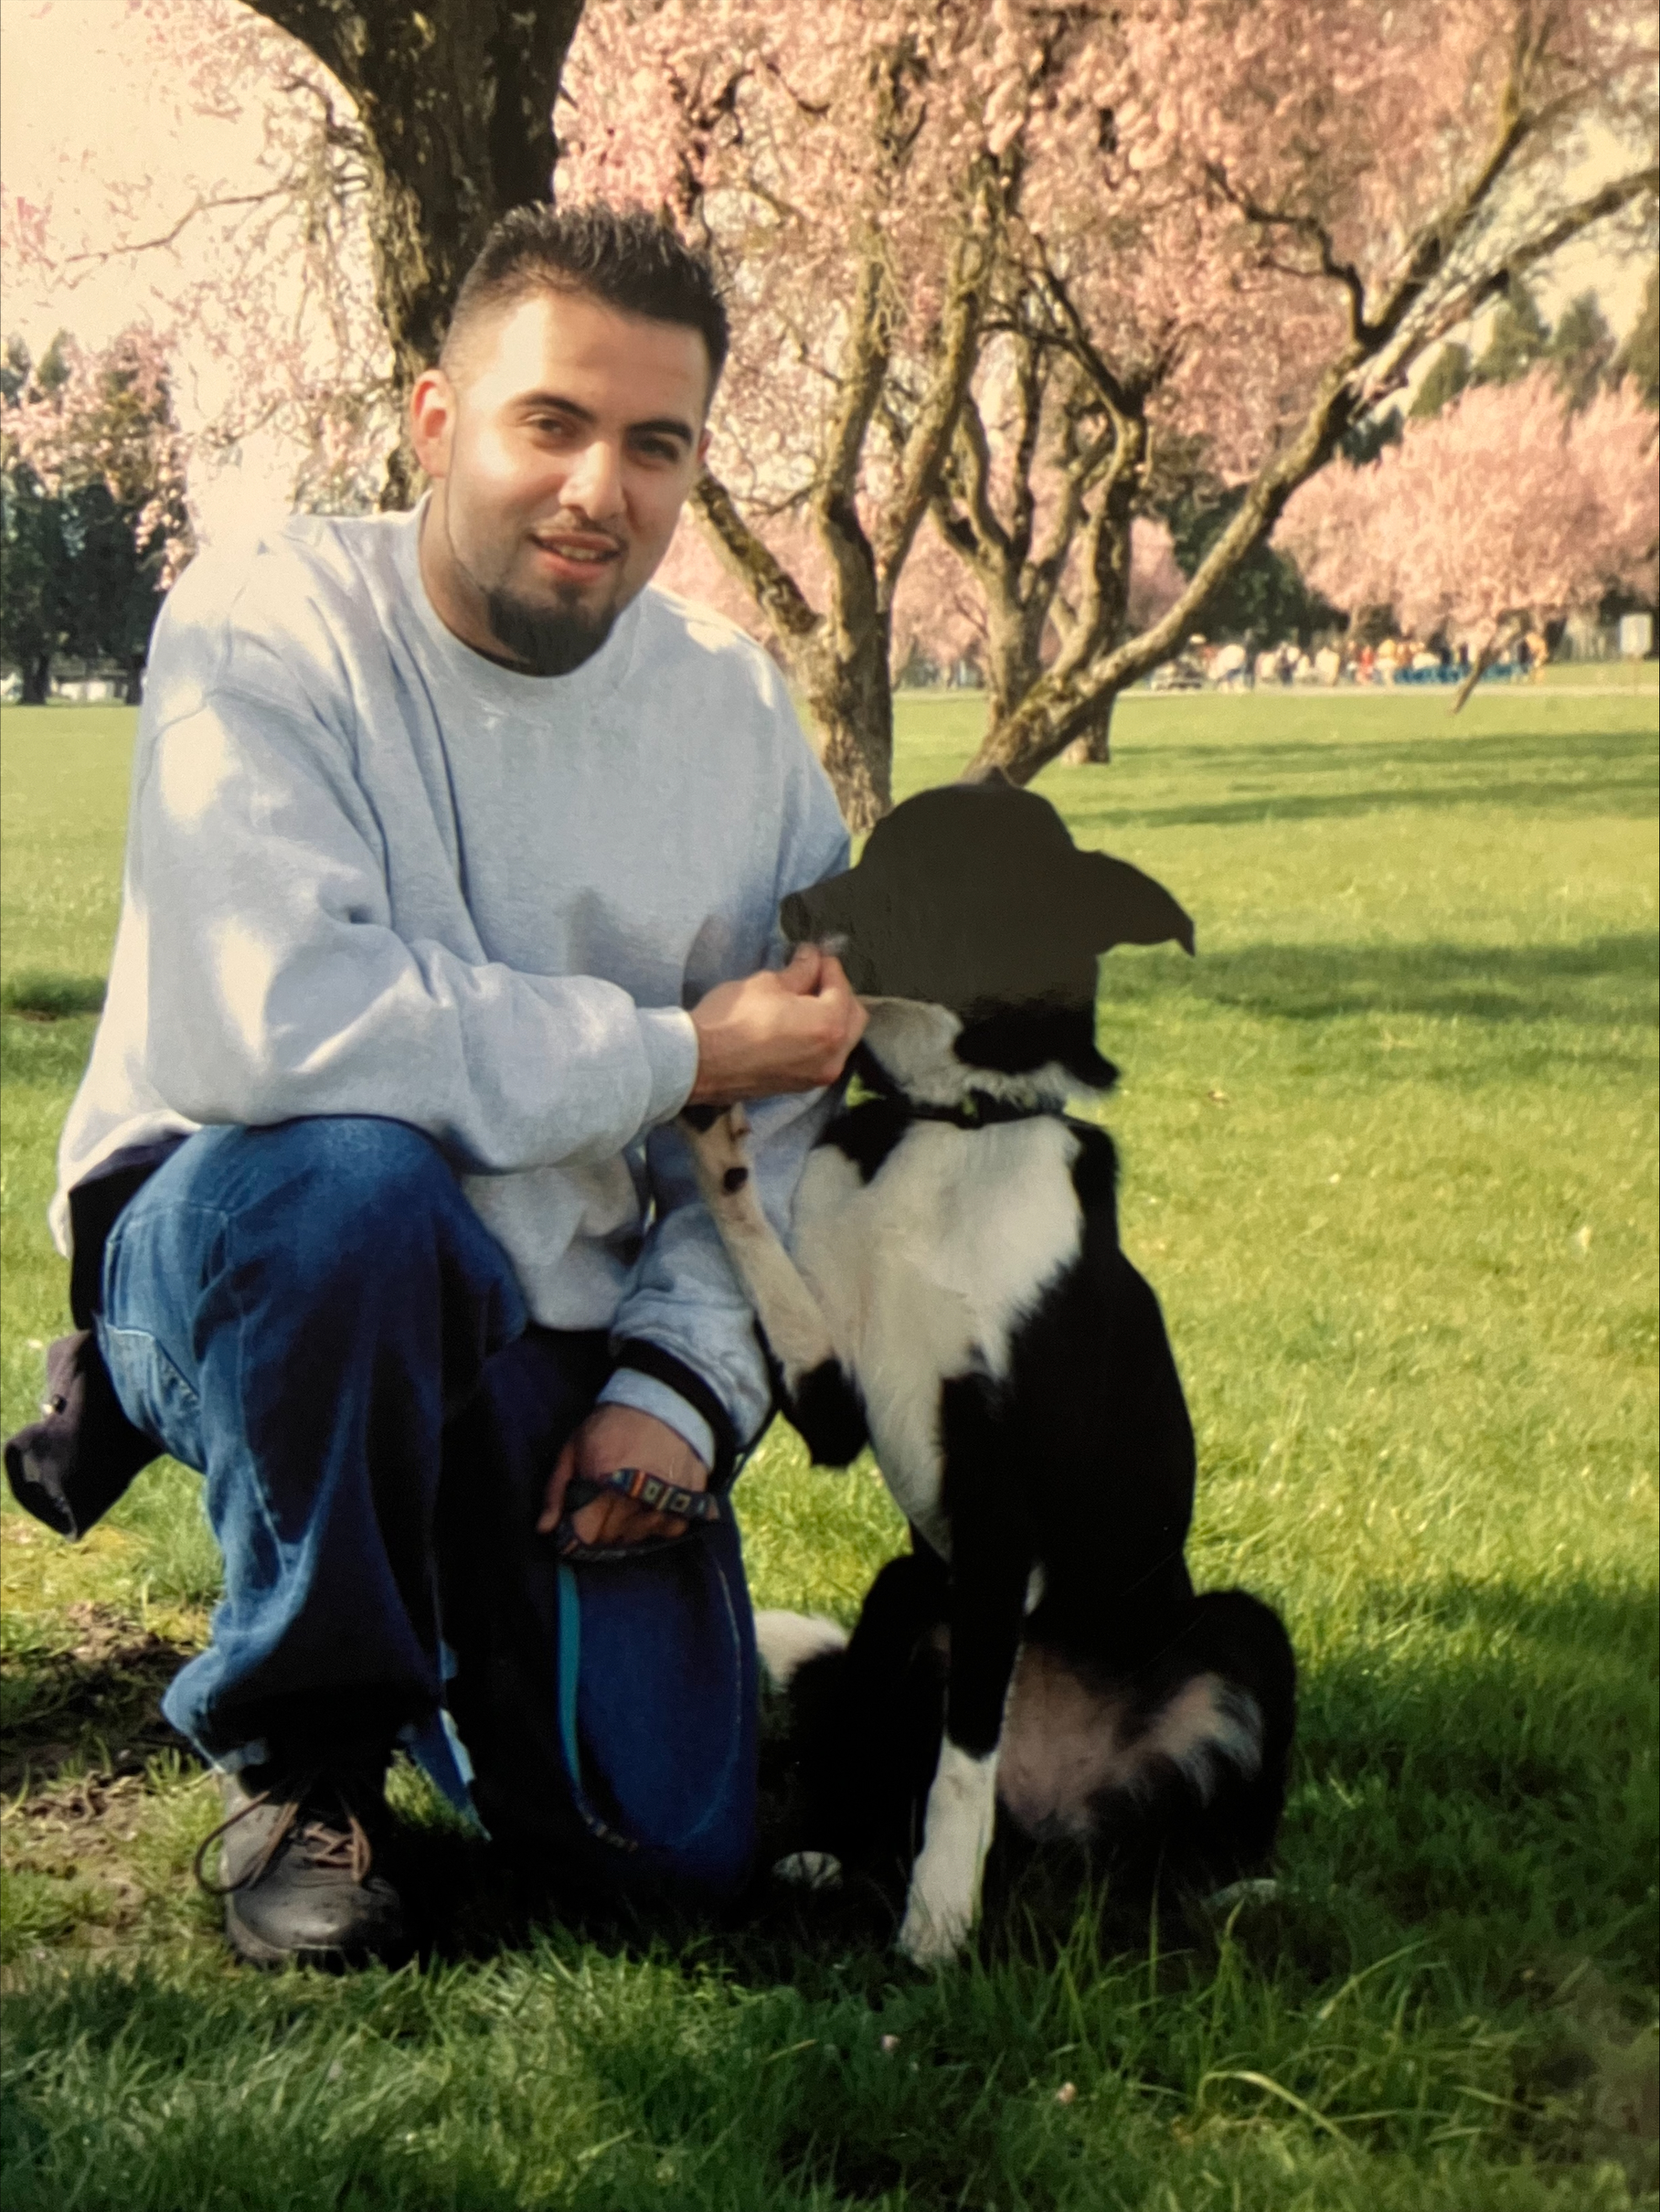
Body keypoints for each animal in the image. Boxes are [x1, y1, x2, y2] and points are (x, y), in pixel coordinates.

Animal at [681, 782, 1293, 1973]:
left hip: (1240, 1631)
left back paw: (1235, 1888)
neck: (948, 1129)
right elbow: (765, 1254)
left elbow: (962, 1765)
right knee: (881, 1758)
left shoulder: (1001, 1498)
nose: (793, 906)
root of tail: (1059, 1810)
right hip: (904, 1594)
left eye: (943, 869)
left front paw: (936, 1928)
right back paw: (831, 1854)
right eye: (871, 848)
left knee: (1164, 1831)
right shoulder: (834, 1404)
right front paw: (716, 1131)